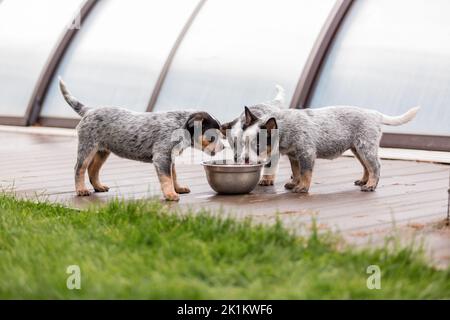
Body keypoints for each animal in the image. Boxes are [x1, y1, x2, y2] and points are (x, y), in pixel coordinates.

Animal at [58, 78, 223, 201]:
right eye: (212, 137)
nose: (223, 147)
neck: (180, 125)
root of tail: (90, 110)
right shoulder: (162, 157)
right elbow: (167, 178)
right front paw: (171, 194)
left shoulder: (170, 158)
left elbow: (173, 175)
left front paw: (178, 188)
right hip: (87, 147)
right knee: (79, 169)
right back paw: (81, 190)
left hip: (102, 151)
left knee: (93, 169)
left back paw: (98, 186)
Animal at [221, 89, 418, 192]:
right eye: (240, 143)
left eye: (257, 145)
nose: (243, 159)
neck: (286, 127)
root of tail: (375, 114)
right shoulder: (294, 156)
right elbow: (296, 171)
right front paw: (294, 183)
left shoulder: (306, 153)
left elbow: (306, 172)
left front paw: (302, 187)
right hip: (358, 149)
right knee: (366, 167)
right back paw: (363, 181)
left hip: (366, 147)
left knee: (375, 166)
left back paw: (370, 185)